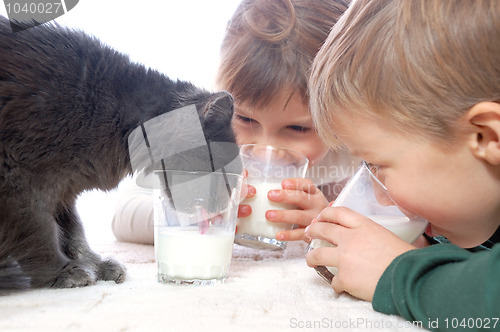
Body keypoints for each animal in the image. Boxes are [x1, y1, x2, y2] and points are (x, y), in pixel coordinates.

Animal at [0, 16, 238, 290]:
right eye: (224, 172)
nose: (221, 209)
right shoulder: (17, 179)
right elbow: (41, 229)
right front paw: (62, 272)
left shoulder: (64, 190)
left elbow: (74, 231)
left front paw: (95, 265)